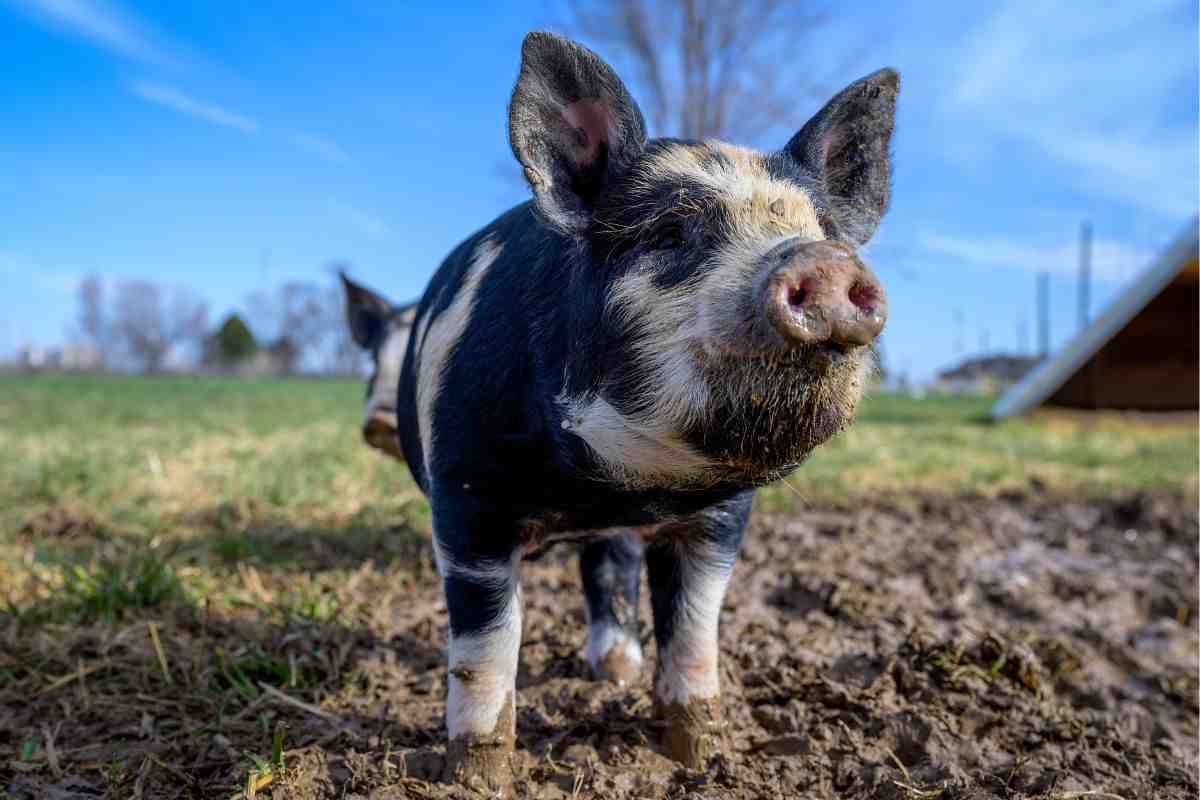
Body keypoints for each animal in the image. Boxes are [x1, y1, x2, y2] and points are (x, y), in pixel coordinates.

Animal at [392, 32, 897, 791]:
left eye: (824, 229)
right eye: (671, 233)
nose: (824, 260)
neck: (614, 482)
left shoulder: (718, 518)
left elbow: (693, 631)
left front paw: (701, 759)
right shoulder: (465, 494)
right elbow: (486, 646)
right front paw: (479, 779)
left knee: (610, 564)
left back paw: (617, 668)